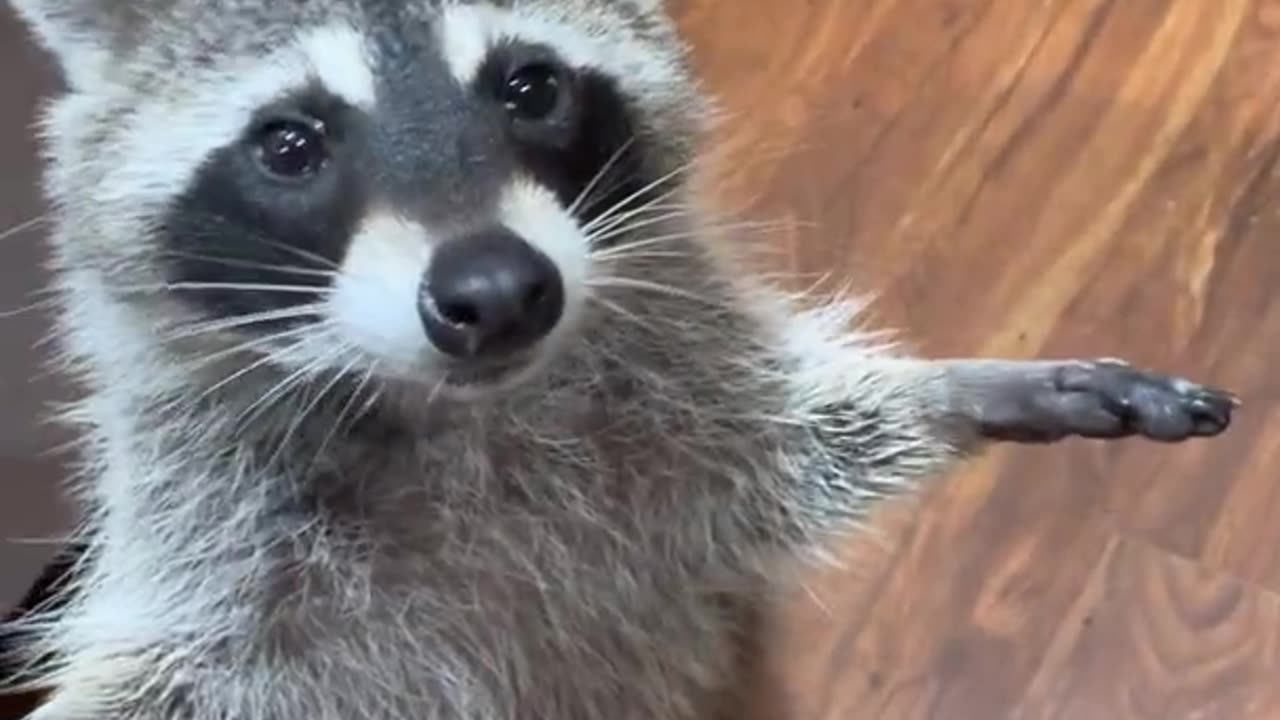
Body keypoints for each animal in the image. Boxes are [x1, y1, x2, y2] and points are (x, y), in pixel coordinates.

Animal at [0, 1, 1233, 717]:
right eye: (291, 144)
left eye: (530, 86)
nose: (498, 294)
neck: (466, 421)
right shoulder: (221, 549)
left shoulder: (668, 444)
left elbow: (778, 460)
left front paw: (956, 394)